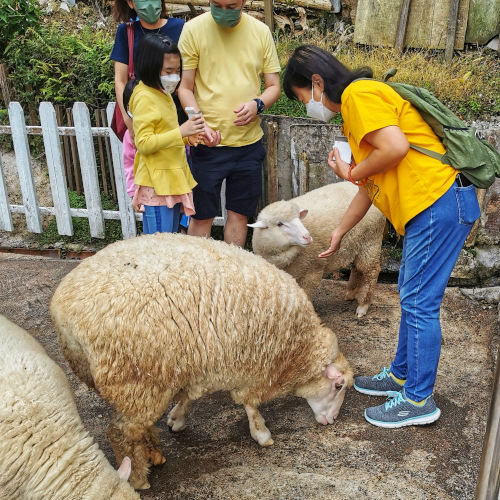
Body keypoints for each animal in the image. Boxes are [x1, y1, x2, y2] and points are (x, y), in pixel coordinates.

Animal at [49, 232, 356, 490]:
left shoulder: (204, 364)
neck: (297, 349)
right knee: (120, 431)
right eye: (338, 385)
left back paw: (153, 453)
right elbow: (250, 404)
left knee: (136, 426)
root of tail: (62, 310)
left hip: (145, 380)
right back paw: (138, 476)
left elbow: (190, 396)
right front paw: (262, 433)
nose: (331, 421)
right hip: (135, 379)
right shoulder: (252, 367)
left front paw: (177, 418)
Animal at [250, 182, 386, 318]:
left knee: (371, 271)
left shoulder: (313, 270)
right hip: (358, 244)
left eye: (299, 218)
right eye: (279, 224)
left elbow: (306, 295)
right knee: (357, 268)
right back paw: (351, 293)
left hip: (370, 242)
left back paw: (363, 306)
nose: (307, 237)